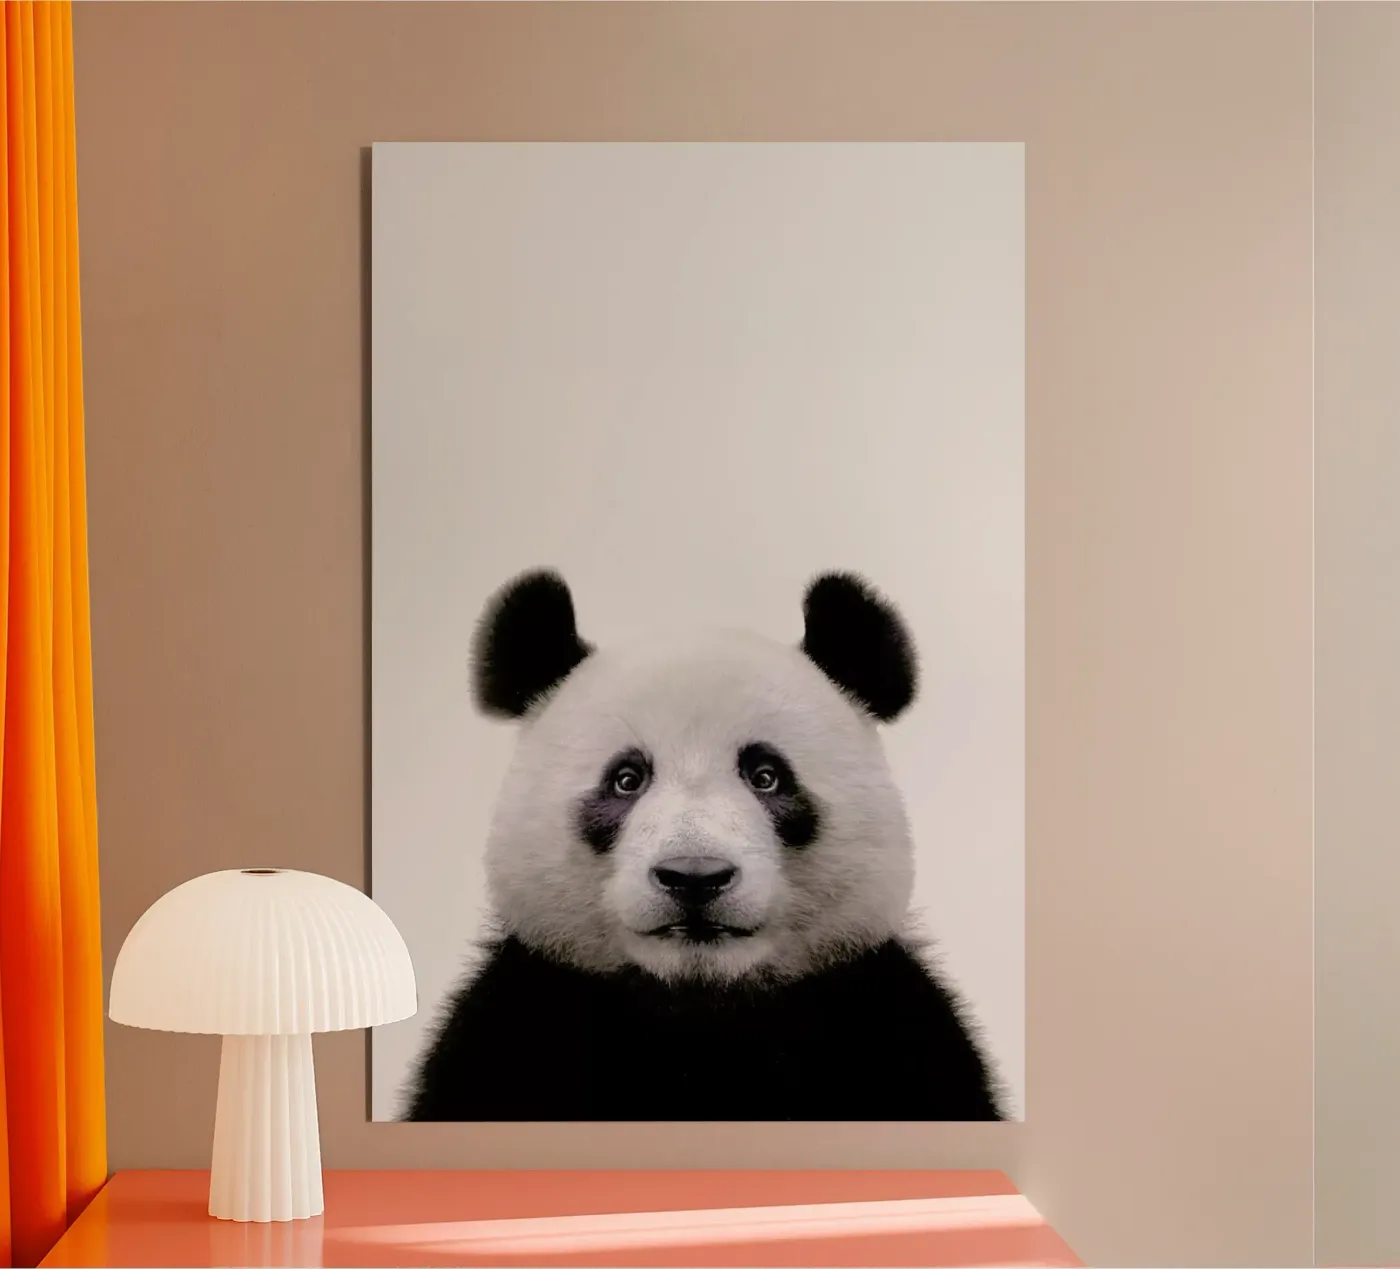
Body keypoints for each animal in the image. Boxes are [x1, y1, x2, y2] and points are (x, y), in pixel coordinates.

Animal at [403, 568, 1004, 1122]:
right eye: (626, 779)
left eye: (766, 776)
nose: (694, 876)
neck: (700, 1012)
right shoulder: (514, 1022)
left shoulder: (891, 1025)